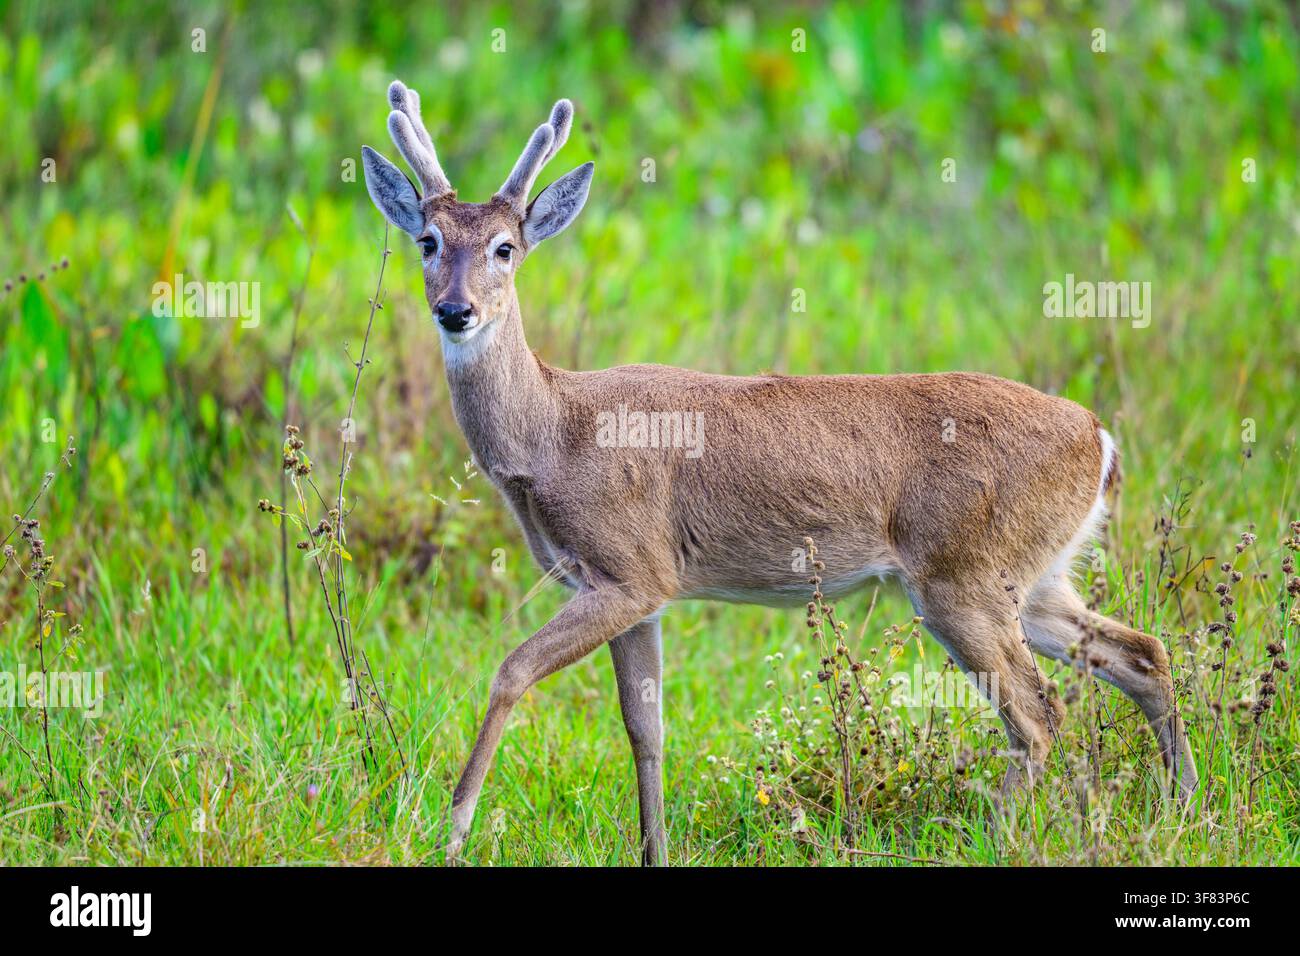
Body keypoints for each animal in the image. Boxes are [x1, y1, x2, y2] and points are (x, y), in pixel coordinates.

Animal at [360, 80, 1197, 866]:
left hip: (963, 574)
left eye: (505, 247)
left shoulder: (631, 569)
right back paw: (1183, 806)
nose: (455, 311)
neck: (552, 432)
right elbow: (645, 731)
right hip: (1037, 575)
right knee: (1141, 653)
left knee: (1040, 712)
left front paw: (450, 833)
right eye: (428, 240)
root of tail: (1099, 436)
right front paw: (653, 851)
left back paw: (1001, 834)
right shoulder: (640, 592)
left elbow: (509, 671)